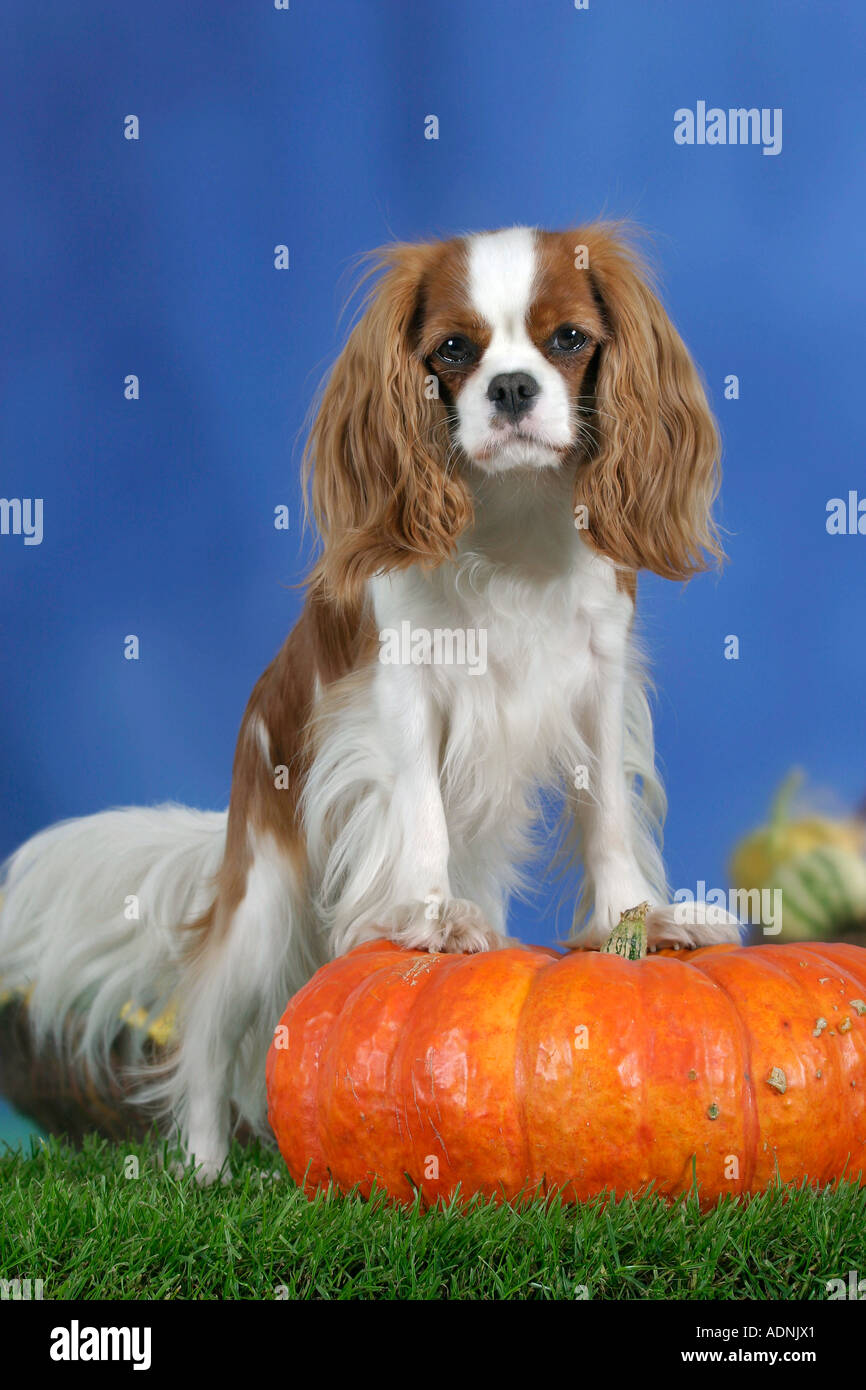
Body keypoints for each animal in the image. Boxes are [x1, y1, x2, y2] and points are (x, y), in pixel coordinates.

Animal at [1, 222, 739, 1178]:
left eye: (570, 339)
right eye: (453, 351)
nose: (510, 387)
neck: (512, 517)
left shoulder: (598, 684)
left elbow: (608, 815)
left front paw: (634, 920)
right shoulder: (403, 691)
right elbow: (418, 809)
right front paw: (427, 913)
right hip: (265, 898)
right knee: (206, 1031)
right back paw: (204, 1172)